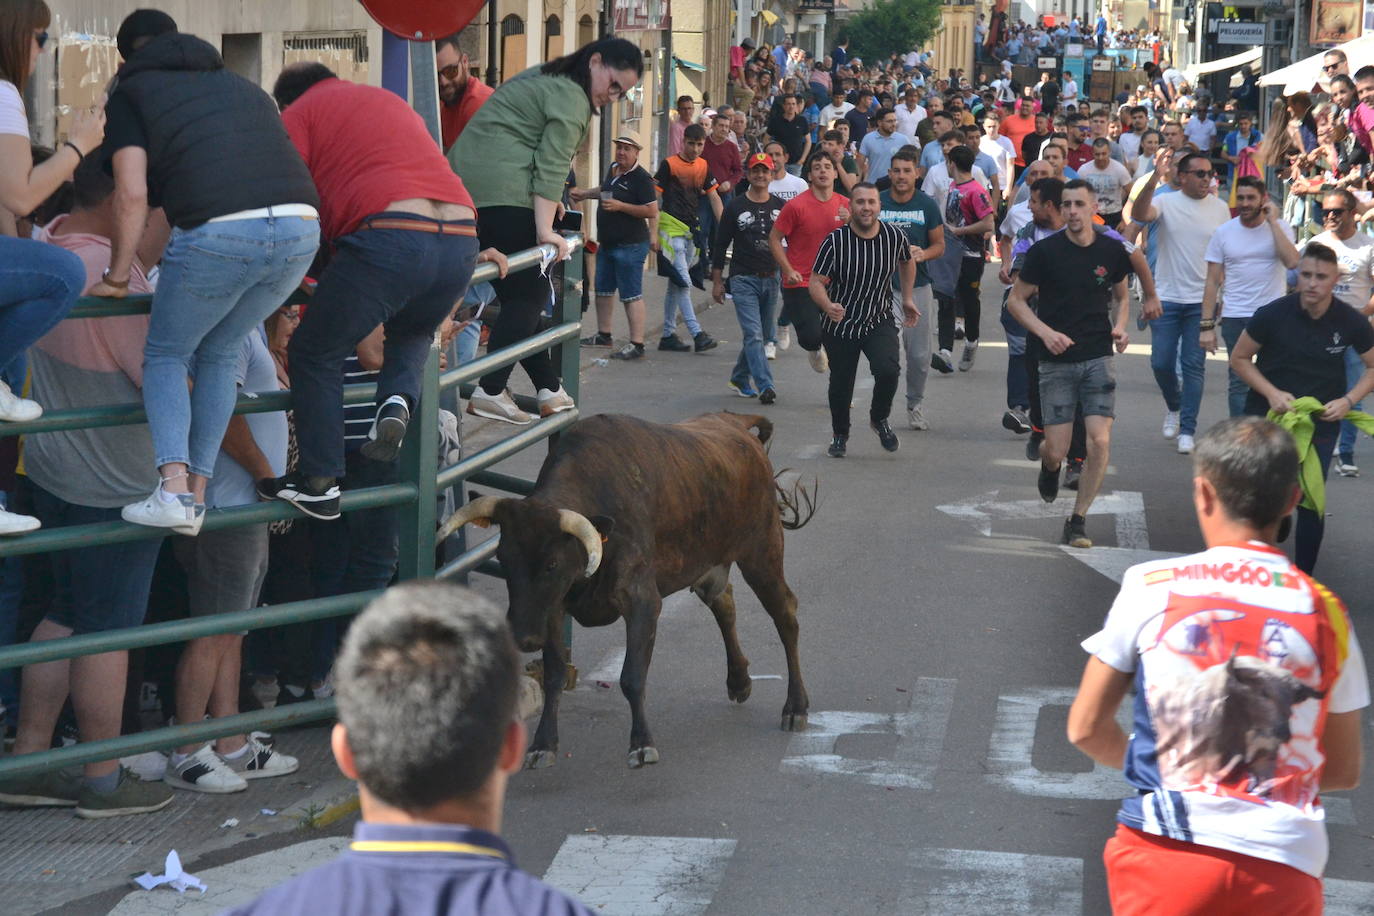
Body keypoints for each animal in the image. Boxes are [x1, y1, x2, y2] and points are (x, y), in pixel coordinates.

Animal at [436, 411, 802, 769]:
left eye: (552, 563)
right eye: (503, 557)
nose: (524, 637)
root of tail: (735, 423)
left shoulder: (642, 602)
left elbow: (631, 676)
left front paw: (641, 744)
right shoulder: (554, 608)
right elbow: (554, 675)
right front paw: (542, 744)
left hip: (762, 553)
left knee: (785, 614)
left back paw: (796, 707)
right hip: (710, 561)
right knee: (723, 602)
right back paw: (739, 681)